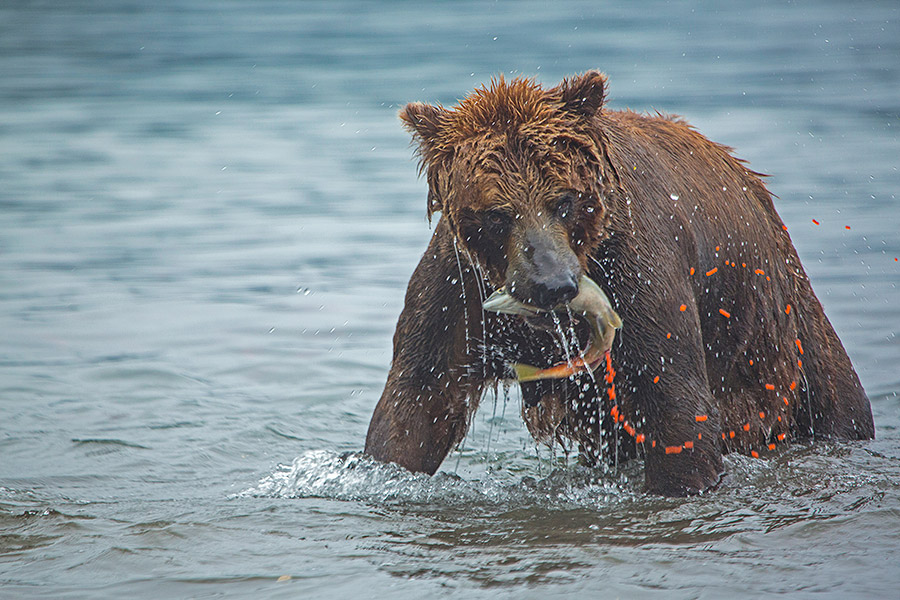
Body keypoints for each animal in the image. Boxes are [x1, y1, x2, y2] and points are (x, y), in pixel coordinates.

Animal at [362, 71, 876, 496]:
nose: (554, 284)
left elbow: (676, 405)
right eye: (497, 214)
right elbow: (417, 402)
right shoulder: (460, 290)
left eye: (562, 200)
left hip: (790, 349)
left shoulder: (638, 269)